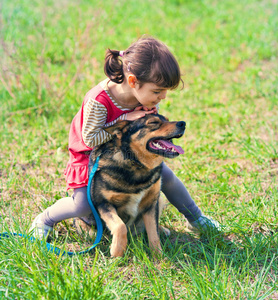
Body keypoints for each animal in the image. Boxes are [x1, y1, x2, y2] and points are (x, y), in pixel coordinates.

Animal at [75, 113, 186, 256]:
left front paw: (159, 256)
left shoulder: (151, 203)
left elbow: (153, 233)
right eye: (153, 122)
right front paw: (117, 252)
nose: (183, 123)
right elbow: (120, 226)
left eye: (167, 119)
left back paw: (162, 229)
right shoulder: (103, 203)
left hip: (159, 200)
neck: (135, 163)